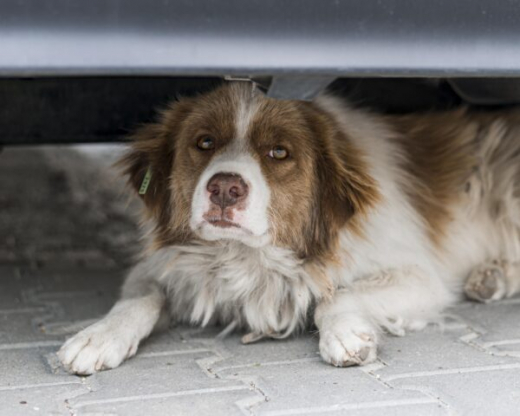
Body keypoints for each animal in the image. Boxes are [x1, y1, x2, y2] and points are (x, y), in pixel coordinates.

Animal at [59, 81, 520, 374]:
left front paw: (345, 335)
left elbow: (335, 297)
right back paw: (491, 277)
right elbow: (138, 298)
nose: (225, 188)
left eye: (279, 153)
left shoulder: (418, 275)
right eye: (204, 142)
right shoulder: (165, 264)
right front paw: (99, 336)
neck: (246, 257)